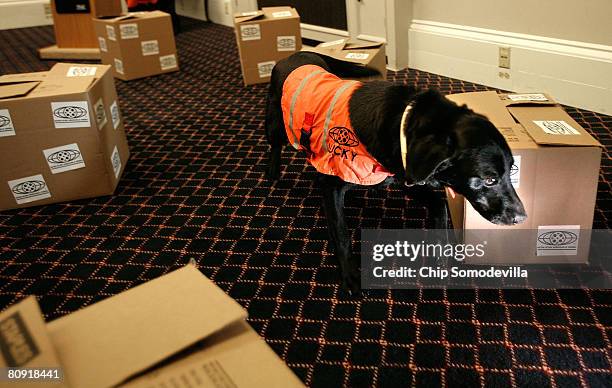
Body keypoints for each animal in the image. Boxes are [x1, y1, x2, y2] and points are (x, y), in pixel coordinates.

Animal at [262, 52, 524, 294]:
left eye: (512, 170)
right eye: (489, 179)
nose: (522, 218)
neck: (401, 124)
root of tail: (298, 54)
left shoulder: (403, 176)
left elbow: (439, 205)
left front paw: (441, 255)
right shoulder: (332, 184)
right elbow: (342, 232)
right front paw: (350, 275)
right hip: (276, 124)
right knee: (274, 145)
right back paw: (273, 171)